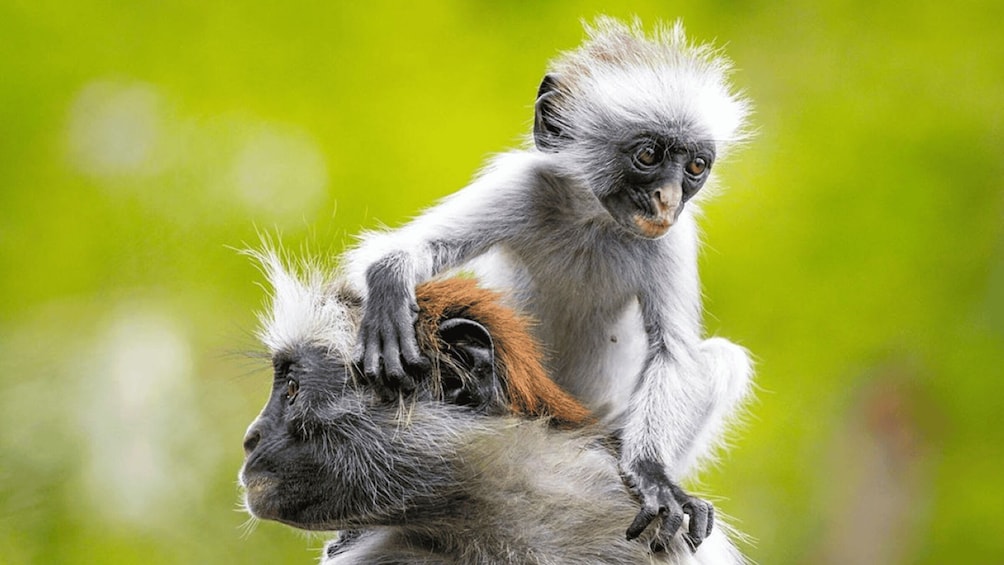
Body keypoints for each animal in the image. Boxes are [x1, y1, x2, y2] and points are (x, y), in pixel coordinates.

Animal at [343, 17, 754, 549]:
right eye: (648, 155)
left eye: (695, 167)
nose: (667, 199)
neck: (592, 221)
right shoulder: (525, 184)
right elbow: (379, 258)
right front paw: (391, 277)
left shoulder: (671, 237)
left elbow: (674, 353)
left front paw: (652, 473)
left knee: (721, 359)